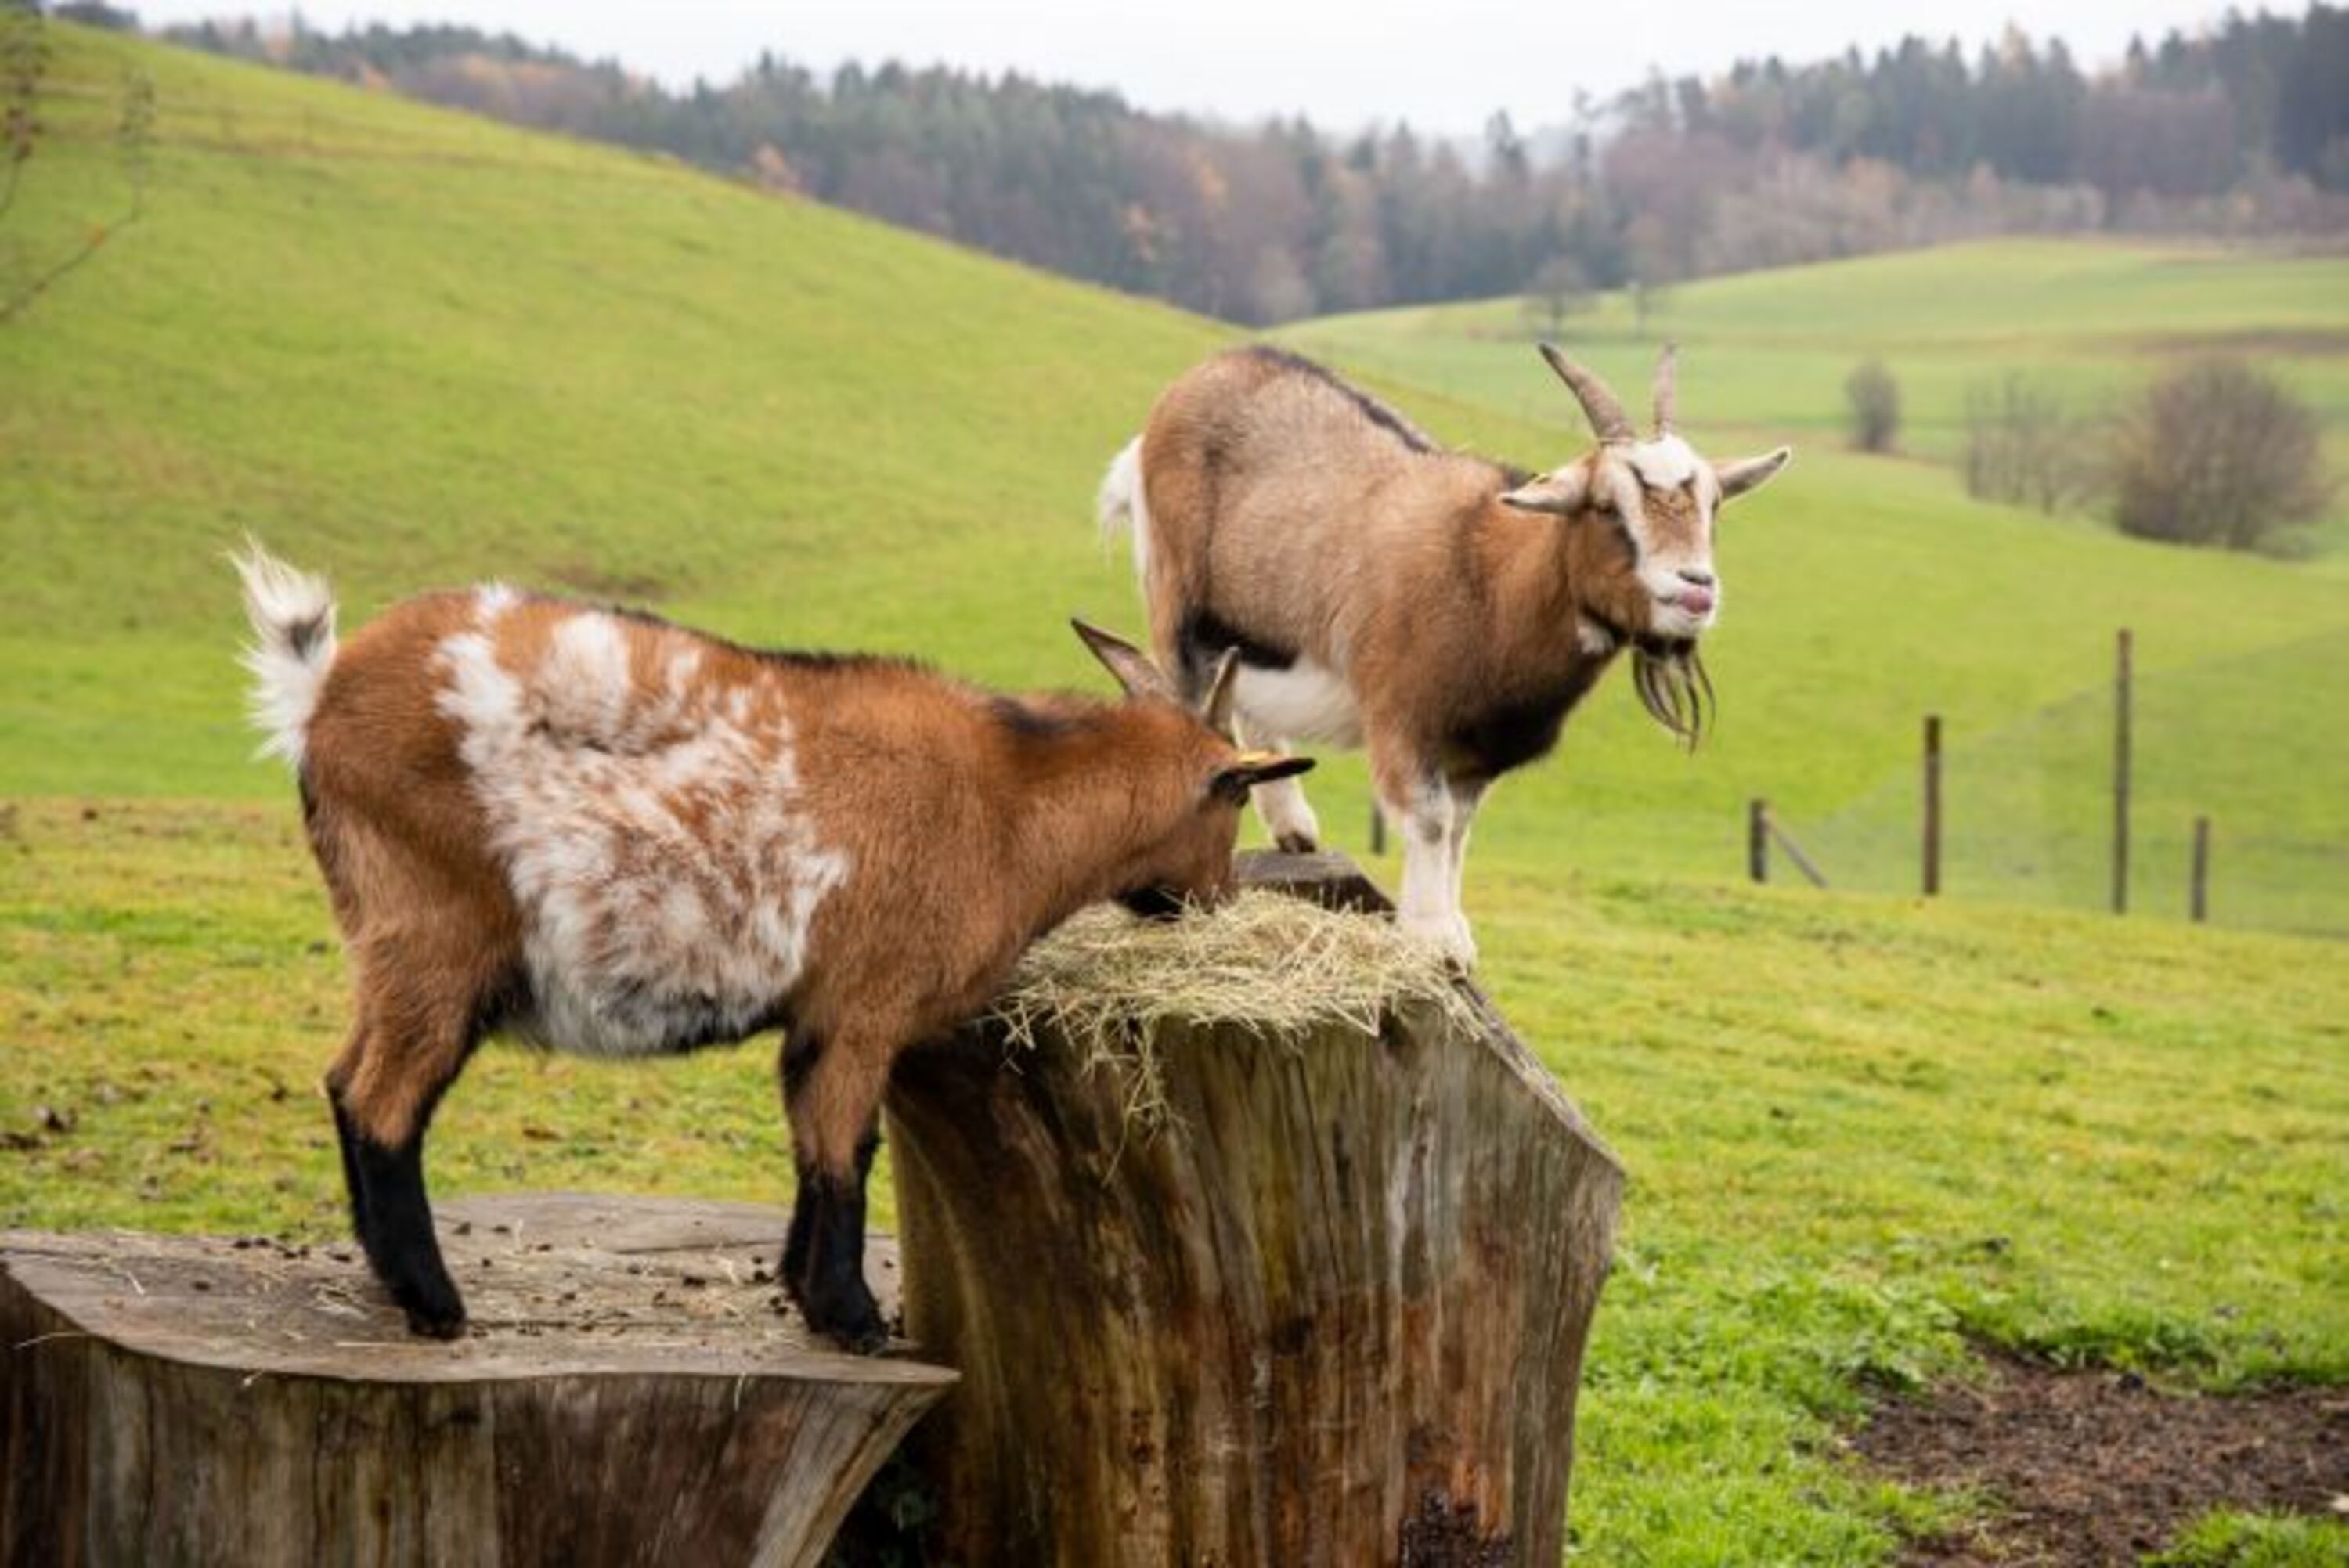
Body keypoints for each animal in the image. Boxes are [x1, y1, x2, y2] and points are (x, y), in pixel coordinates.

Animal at [234, 546, 1309, 1352]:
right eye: (1235, 801)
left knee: (345, 1079)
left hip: (386, 936)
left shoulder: (817, 1016)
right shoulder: (866, 1004)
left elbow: (810, 1142)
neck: (1012, 797)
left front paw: (803, 1291)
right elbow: (845, 1148)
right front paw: (855, 1319)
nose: (1209, 902)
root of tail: (318, 695)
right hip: (437, 933)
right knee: (382, 1098)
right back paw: (433, 1302)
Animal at [1098, 343, 1788, 967]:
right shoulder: (1403, 717)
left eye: (1713, 505)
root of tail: (1189, 387)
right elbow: (1430, 820)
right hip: (1175, 606)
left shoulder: (1475, 748)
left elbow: (1458, 828)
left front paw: (1451, 926)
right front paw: (1434, 939)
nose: (1695, 589)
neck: (1487, 577)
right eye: (1605, 506)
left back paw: (1295, 830)